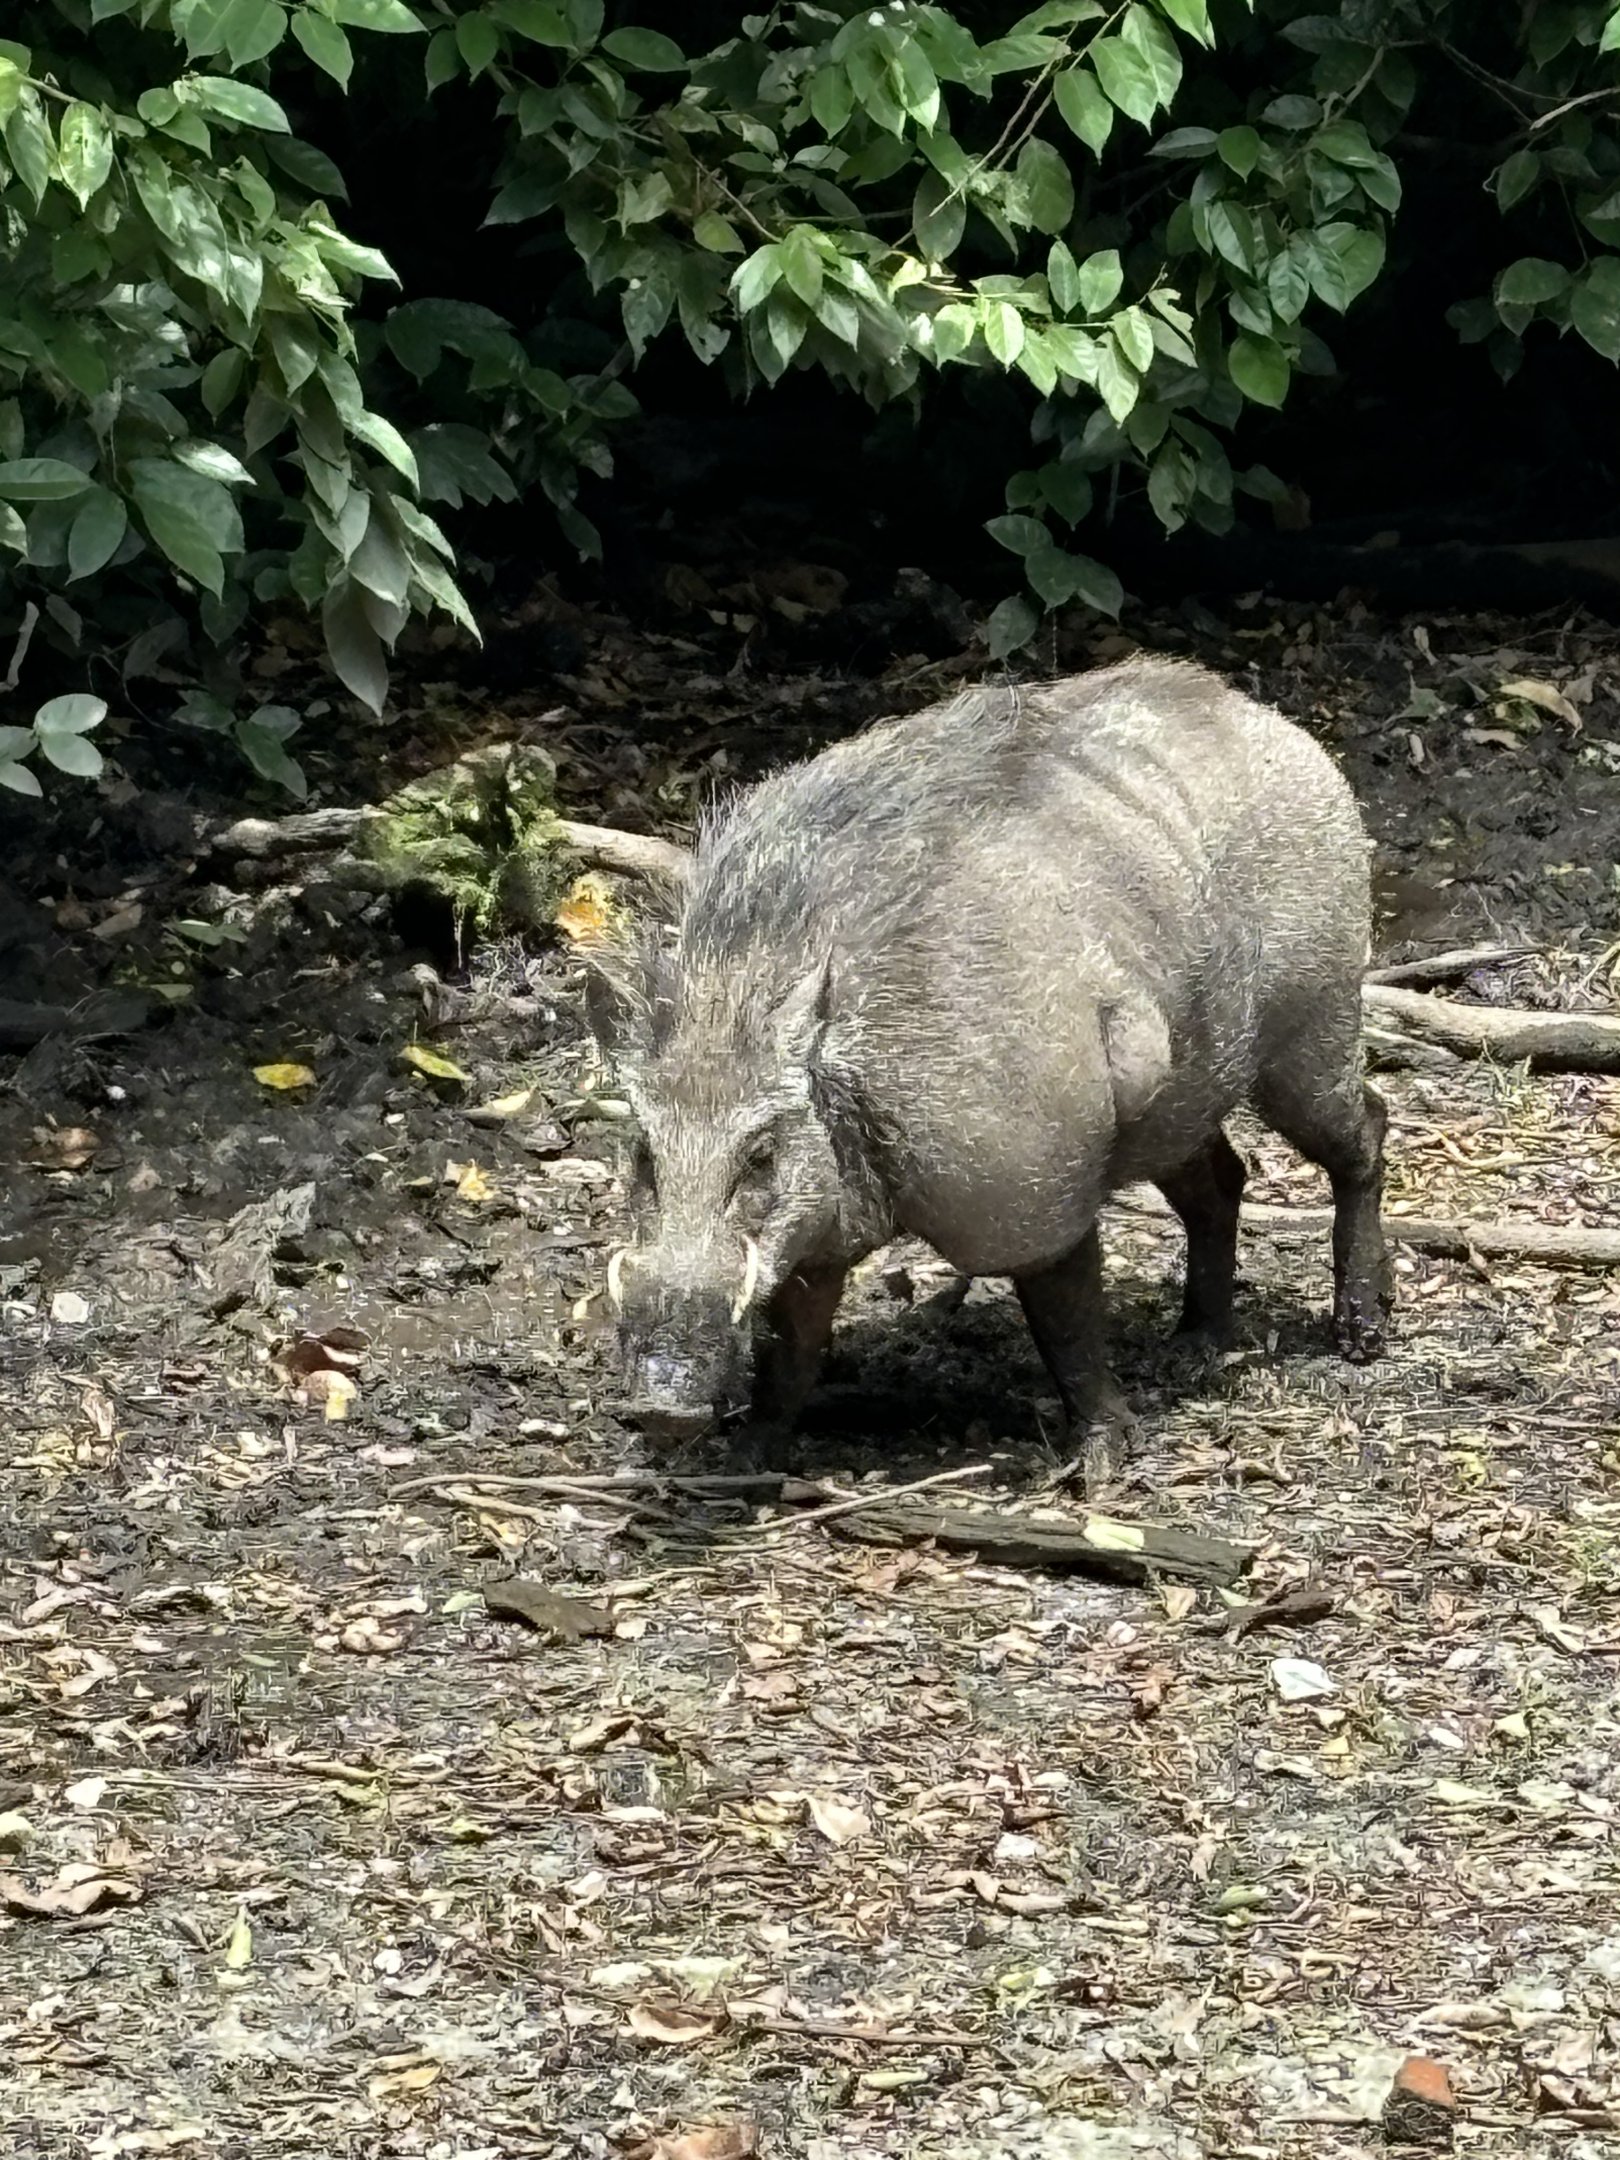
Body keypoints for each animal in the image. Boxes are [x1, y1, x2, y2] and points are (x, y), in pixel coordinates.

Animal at [583, 656, 1390, 1467]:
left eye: (759, 1154)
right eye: (642, 1153)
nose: (661, 1410)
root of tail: (1268, 721)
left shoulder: (1030, 1193)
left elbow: (1068, 1326)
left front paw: (1104, 1458)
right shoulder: (814, 1242)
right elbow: (791, 1352)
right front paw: (751, 1458)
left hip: (1311, 1034)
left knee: (1366, 1132)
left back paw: (1361, 1333)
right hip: (1180, 1105)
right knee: (1223, 1182)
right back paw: (1195, 1345)